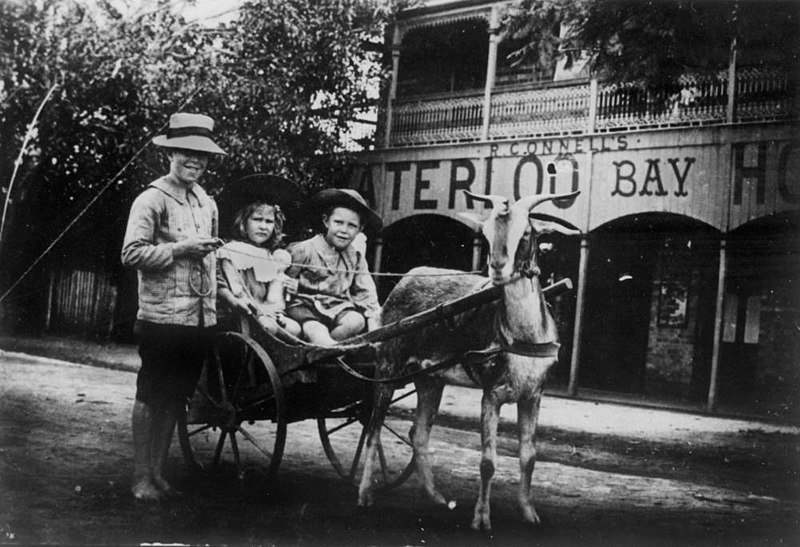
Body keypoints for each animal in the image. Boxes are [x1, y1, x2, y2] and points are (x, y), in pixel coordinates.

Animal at [360, 192, 580, 532]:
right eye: (486, 233)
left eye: (527, 232)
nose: (497, 268)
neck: (523, 337)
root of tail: (403, 281)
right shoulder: (492, 392)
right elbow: (488, 461)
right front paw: (481, 518)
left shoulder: (533, 394)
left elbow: (529, 456)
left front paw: (529, 513)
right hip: (387, 367)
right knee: (373, 428)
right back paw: (365, 495)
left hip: (429, 379)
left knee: (418, 433)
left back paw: (437, 498)